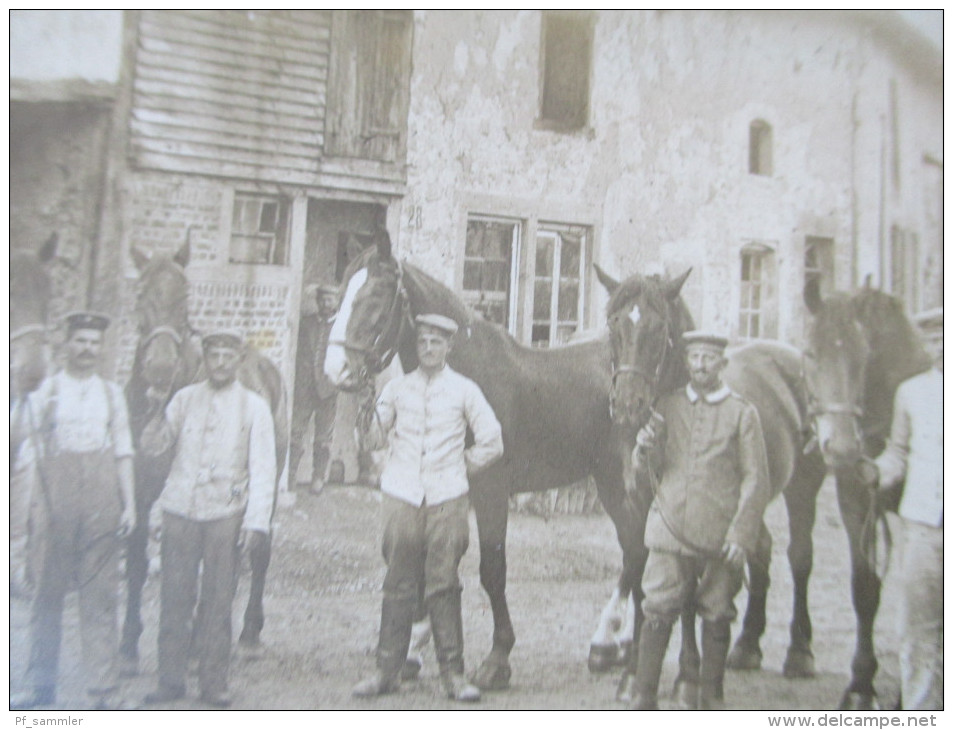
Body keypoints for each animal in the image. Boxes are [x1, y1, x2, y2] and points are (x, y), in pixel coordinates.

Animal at [116, 240, 286, 672]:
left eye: (185, 297)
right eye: (140, 294)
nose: (160, 368)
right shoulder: (142, 489)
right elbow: (139, 560)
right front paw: (127, 644)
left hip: (267, 482)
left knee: (257, 551)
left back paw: (246, 634)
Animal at [322, 233, 648, 688]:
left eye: (376, 297)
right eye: (342, 293)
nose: (335, 370)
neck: (465, 371)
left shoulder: (491, 489)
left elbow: (492, 569)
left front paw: (497, 659)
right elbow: (431, 562)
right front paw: (414, 648)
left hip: (620, 481)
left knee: (637, 550)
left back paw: (608, 643)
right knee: (638, 550)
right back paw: (622, 644)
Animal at [800, 276, 932, 708]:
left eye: (864, 356)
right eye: (810, 352)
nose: (841, 448)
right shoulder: (857, 501)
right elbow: (865, 588)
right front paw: (861, 682)